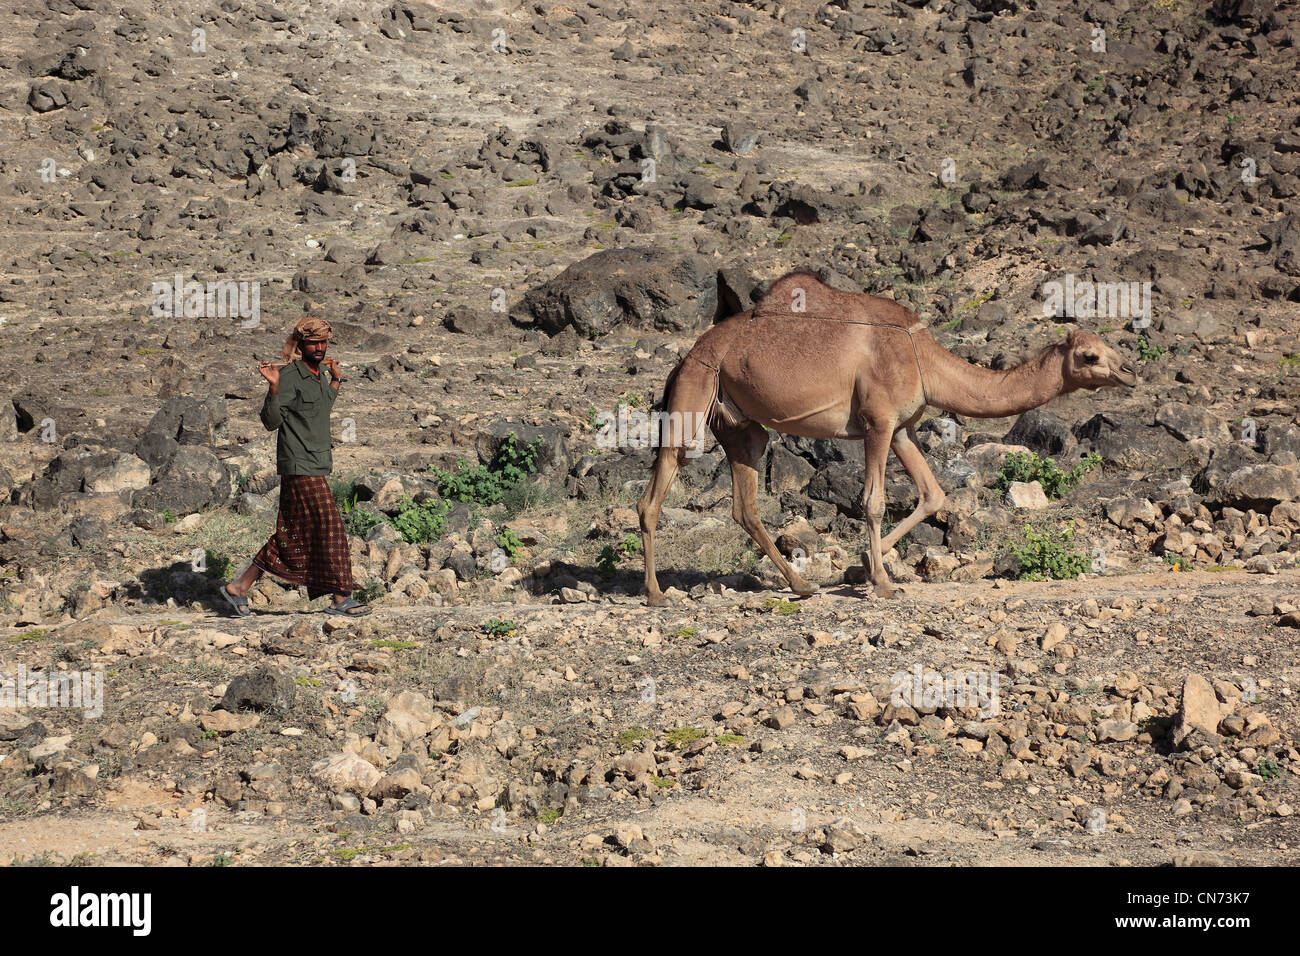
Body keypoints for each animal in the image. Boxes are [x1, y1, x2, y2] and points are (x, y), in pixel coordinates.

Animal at [634, 270, 1133, 606]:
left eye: (1109, 348)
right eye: (1090, 356)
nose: (1128, 370)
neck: (923, 358)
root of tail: (684, 358)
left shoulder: (903, 428)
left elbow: (933, 495)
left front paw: (862, 565)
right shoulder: (877, 421)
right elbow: (872, 501)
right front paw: (883, 583)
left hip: (738, 424)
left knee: (745, 503)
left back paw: (802, 585)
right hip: (695, 392)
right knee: (656, 490)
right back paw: (656, 594)